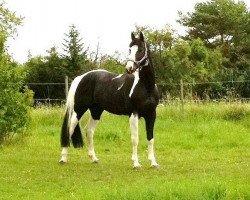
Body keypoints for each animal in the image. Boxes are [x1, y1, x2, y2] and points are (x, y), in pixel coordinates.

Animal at [59, 32, 159, 168]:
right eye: (130, 49)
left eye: (141, 49)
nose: (129, 68)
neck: (146, 87)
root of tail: (82, 77)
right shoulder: (134, 114)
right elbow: (135, 139)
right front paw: (136, 163)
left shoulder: (151, 115)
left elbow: (150, 139)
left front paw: (153, 163)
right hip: (78, 110)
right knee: (69, 129)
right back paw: (63, 158)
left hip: (96, 111)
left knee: (89, 131)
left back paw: (94, 158)